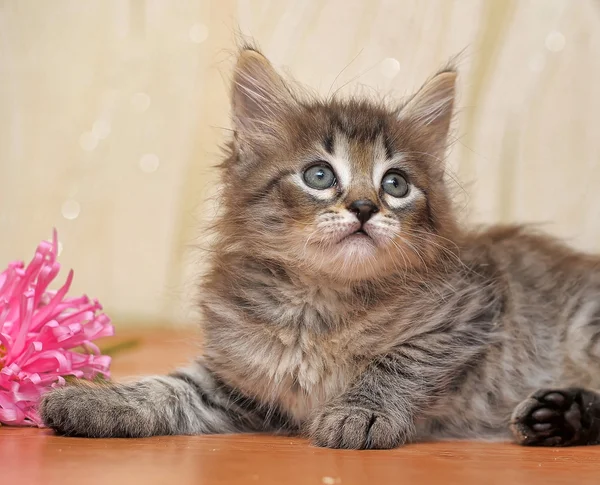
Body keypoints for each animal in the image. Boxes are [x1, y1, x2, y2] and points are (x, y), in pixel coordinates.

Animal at [39, 47, 600, 448]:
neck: (316, 307)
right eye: (319, 176)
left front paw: (361, 412)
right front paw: (96, 403)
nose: (365, 207)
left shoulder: (474, 307)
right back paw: (559, 416)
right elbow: (170, 387)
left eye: (395, 184)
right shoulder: (240, 383)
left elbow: (399, 360)